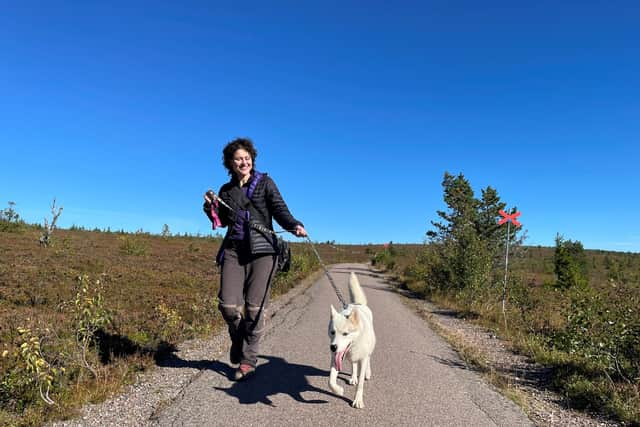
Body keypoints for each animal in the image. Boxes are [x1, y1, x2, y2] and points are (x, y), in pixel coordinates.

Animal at [330, 272, 376, 410]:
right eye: (332, 332)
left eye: (345, 334)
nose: (333, 347)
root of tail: (357, 304)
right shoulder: (335, 358)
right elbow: (330, 381)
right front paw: (338, 390)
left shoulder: (363, 358)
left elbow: (360, 384)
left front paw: (358, 400)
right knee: (353, 365)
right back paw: (353, 377)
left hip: (368, 351)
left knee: (367, 361)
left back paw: (367, 373)